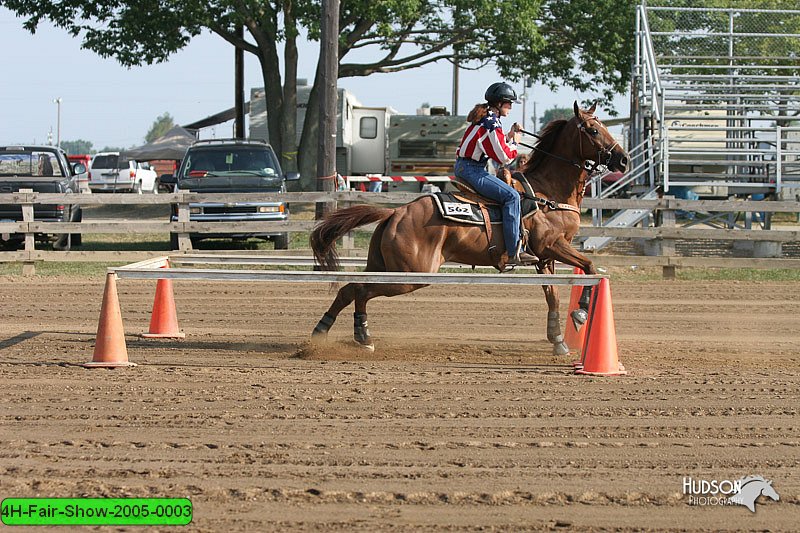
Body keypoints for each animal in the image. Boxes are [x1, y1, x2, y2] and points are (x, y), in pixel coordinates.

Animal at [310, 101, 628, 354]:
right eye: (593, 130)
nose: (623, 159)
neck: (547, 193)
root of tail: (396, 212)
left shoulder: (544, 258)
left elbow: (554, 295)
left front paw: (558, 340)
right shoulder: (552, 245)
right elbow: (590, 268)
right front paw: (581, 315)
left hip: (385, 266)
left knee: (350, 289)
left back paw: (325, 331)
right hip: (411, 274)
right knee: (361, 290)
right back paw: (361, 335)